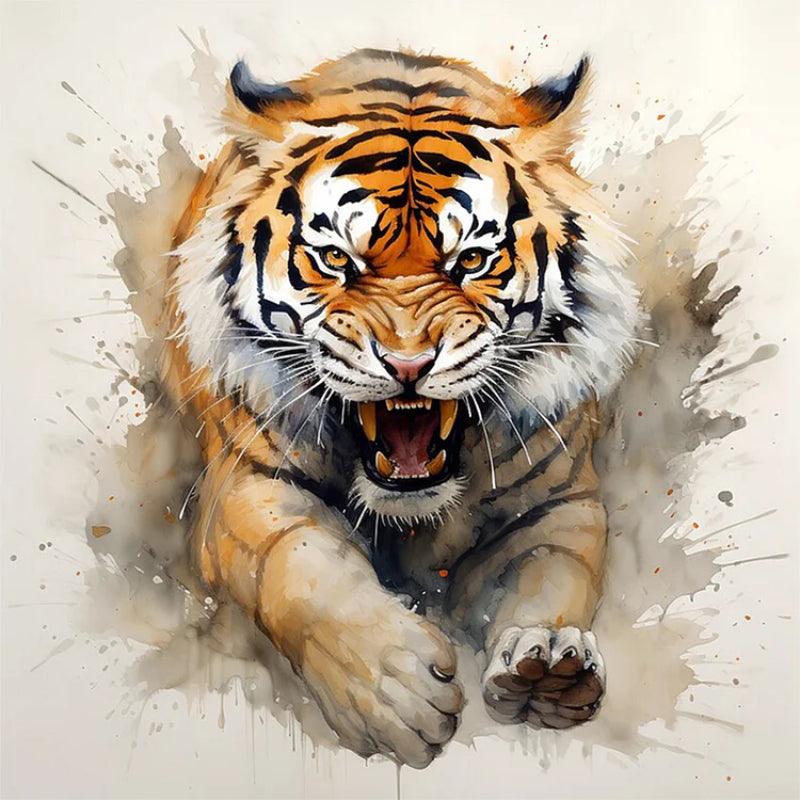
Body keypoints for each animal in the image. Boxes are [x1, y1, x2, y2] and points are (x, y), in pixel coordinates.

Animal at [160, 48, 640, 768]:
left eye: (473, 260)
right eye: (336, 259)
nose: (409, 364)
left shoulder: (560, 501)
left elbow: (551, 575)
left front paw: (549, 667)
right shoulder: (245, 485)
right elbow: (303, 567)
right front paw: (392, 690)